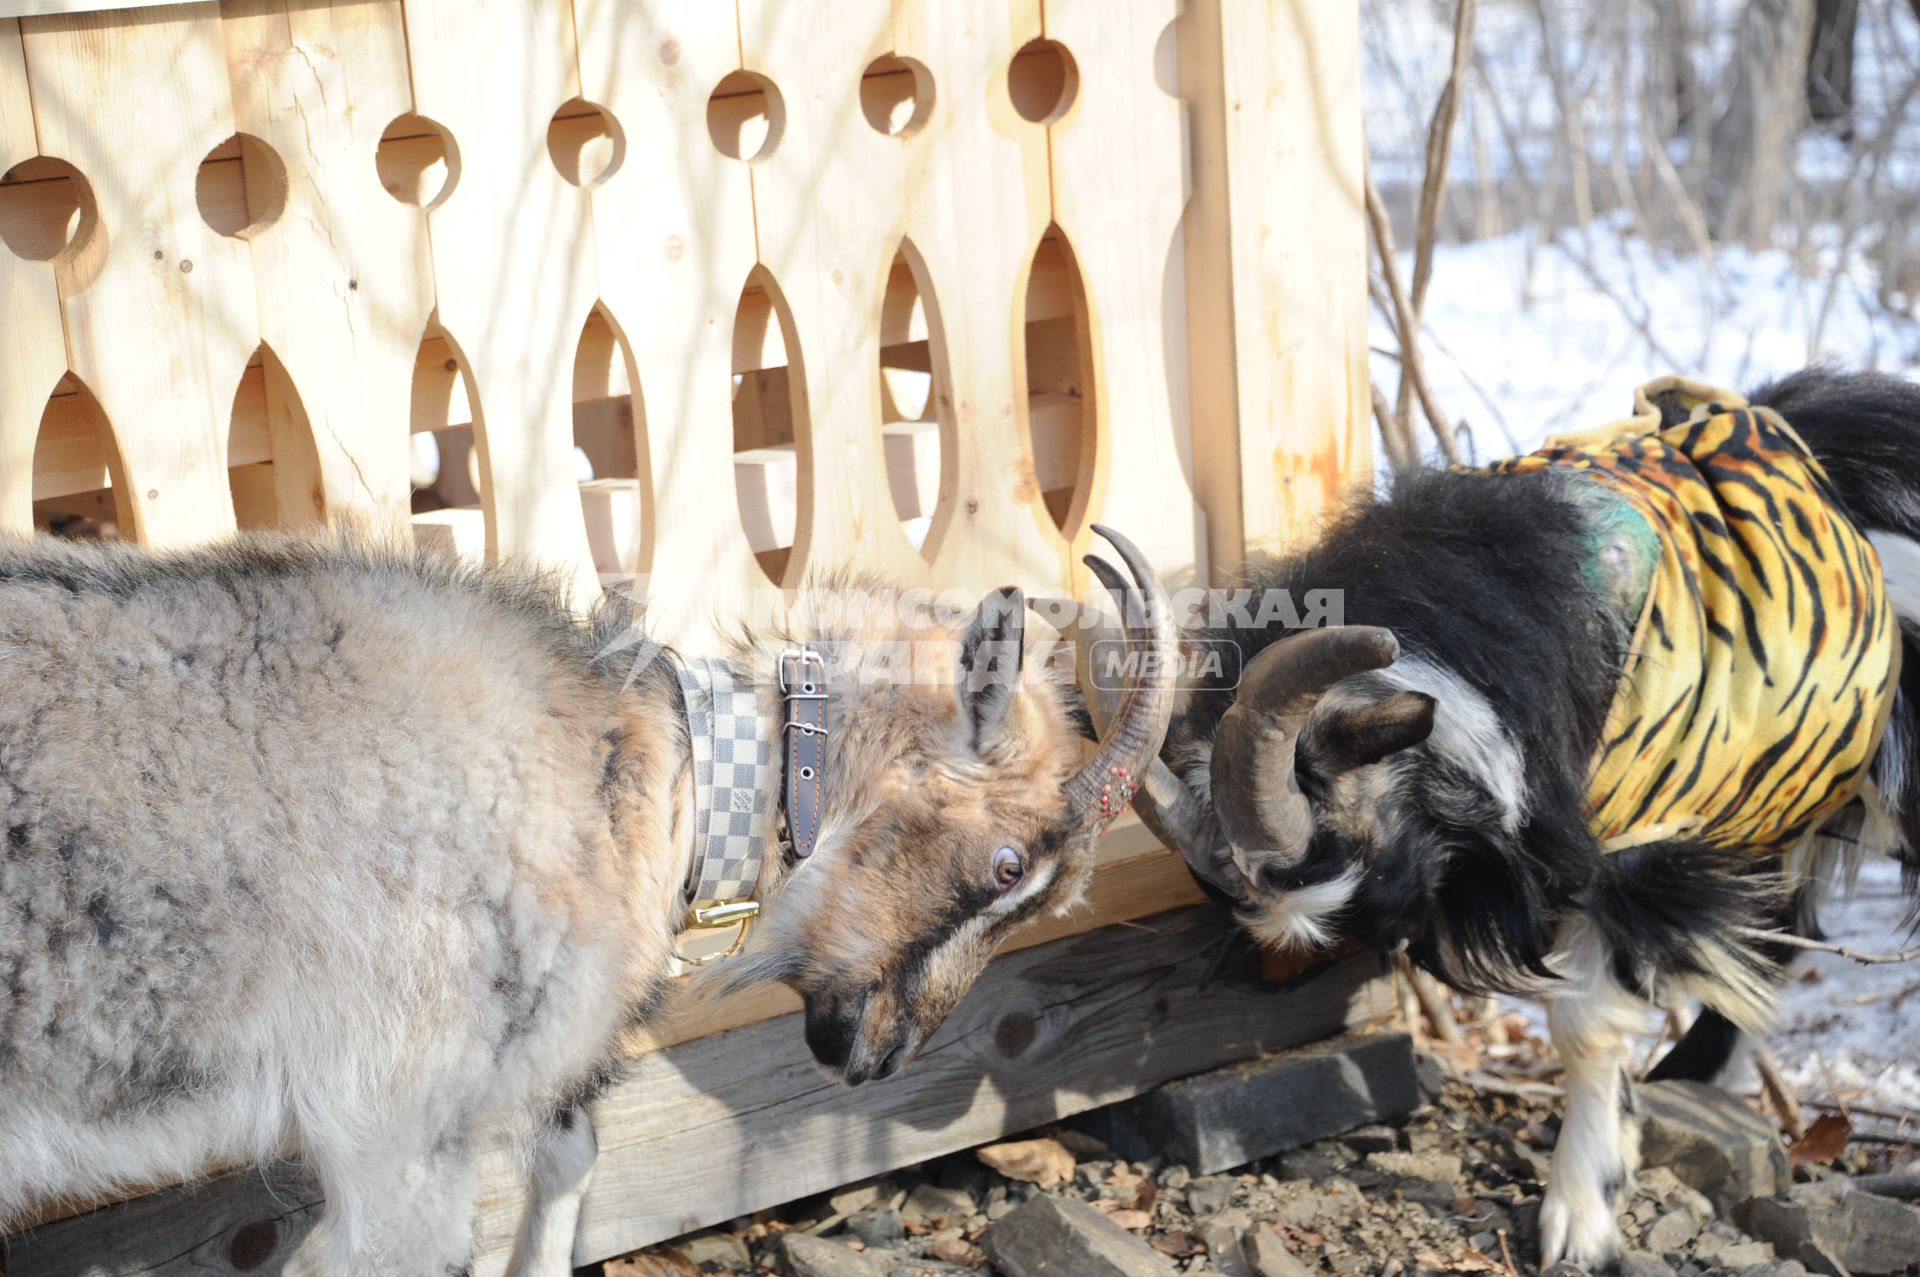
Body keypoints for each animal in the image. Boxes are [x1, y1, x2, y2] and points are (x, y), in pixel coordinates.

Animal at [1121, 368, 1920, 1267]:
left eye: (1358, 844)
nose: (1391, 930)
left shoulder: (1635, 840)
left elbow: (1585, 1024)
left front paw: (1579, 1214)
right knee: (1784, 933)